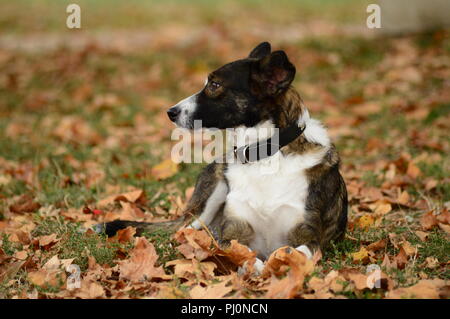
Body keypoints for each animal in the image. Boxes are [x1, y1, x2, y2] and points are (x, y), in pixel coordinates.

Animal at [96, 42, 346, 272]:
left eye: (214, 85)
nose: (170, 112)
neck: (264, 155)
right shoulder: (233, 233)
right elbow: (242, 252)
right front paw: (254, 267)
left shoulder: (308, 237)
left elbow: (293, 251)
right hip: (209, 197)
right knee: (184, 231)